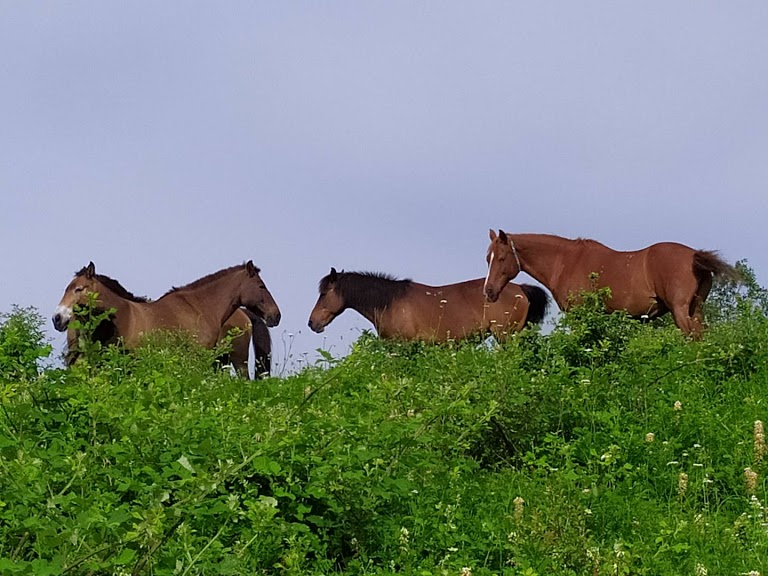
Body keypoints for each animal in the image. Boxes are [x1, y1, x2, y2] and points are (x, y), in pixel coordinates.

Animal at [486, 230, 736, 338]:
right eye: (488, 257)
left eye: (501, 258)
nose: (489, 291)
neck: (566, 261)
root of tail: (695, 256)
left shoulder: (579, 315)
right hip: (696, 309)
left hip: (681, 310)